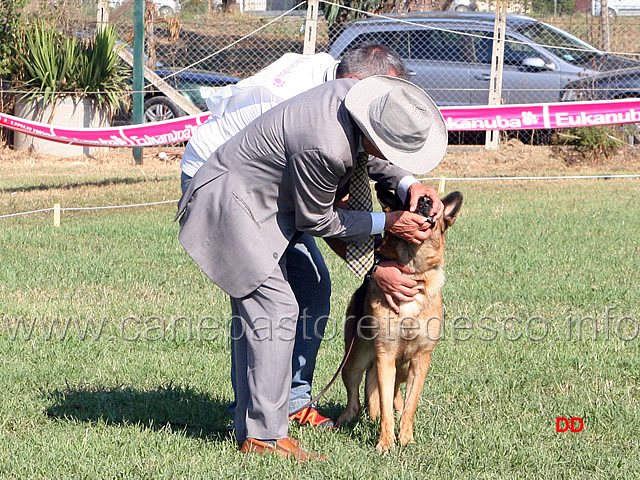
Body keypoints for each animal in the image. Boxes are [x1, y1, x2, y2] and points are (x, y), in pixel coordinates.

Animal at [338, 186, 462, 452]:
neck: (412, 269)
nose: (424, 200)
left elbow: (410, 404)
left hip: (402, 368)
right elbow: (383, 406)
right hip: (354, 362)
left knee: (396, 394)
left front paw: (406, 438)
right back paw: (345, 419)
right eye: (407, 201)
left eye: (432, 203)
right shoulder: (385, 357)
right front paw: (386, 442)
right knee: (356, 398)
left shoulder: (420, 360)